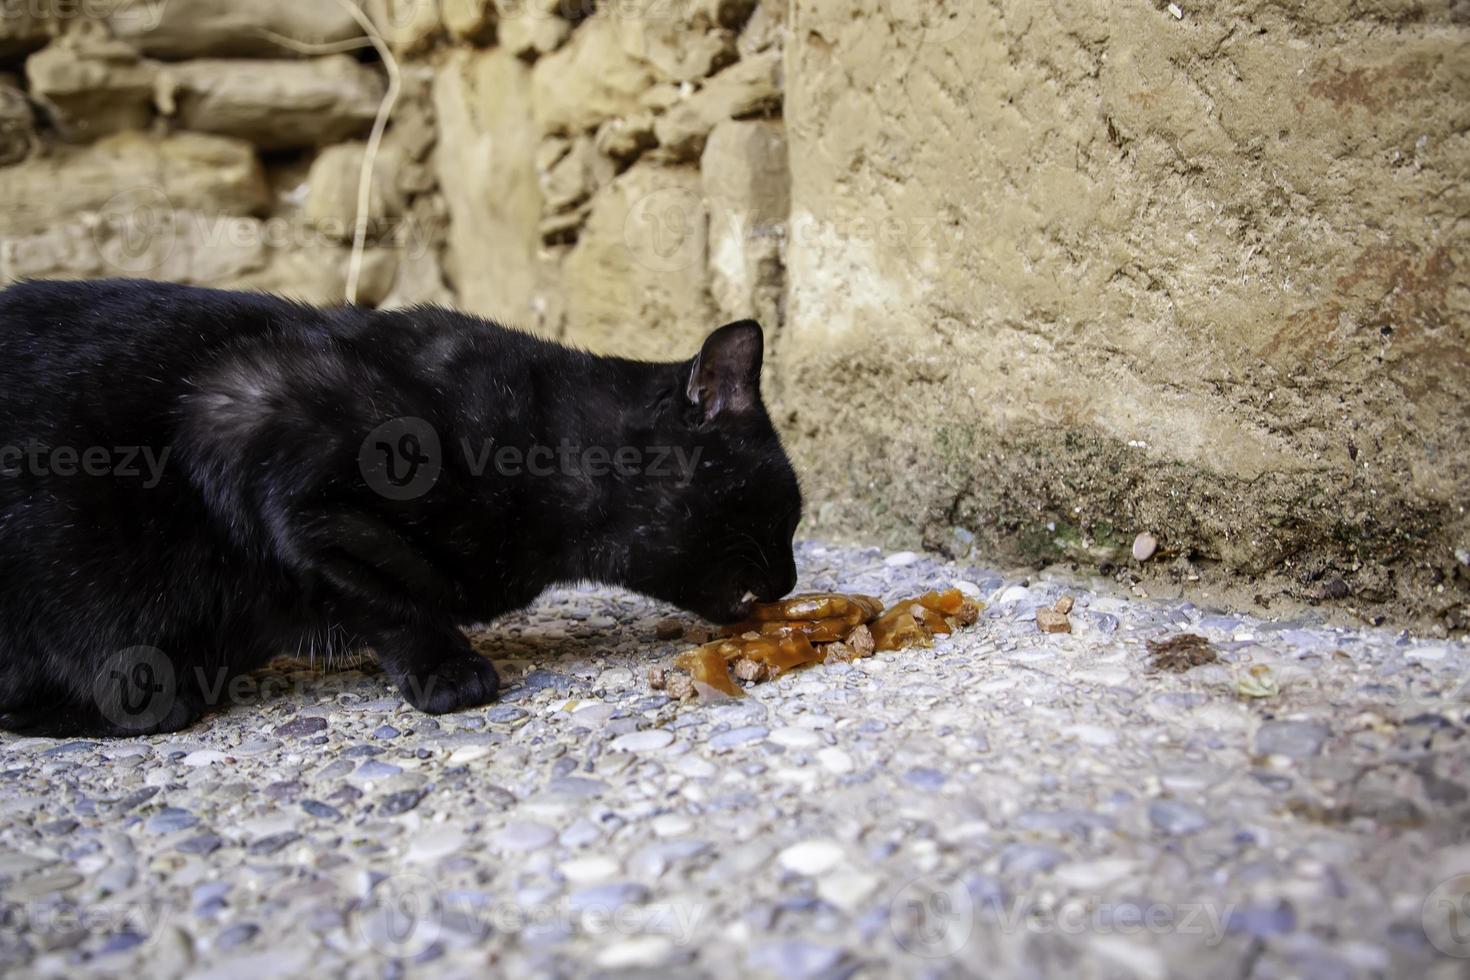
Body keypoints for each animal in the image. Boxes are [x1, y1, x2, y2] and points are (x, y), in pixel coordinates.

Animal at [0, 276, 799, 734]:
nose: (792, 579)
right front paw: (448, 672)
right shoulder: (249, 429)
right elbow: (385, 596)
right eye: (785, 513)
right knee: (141, 700)